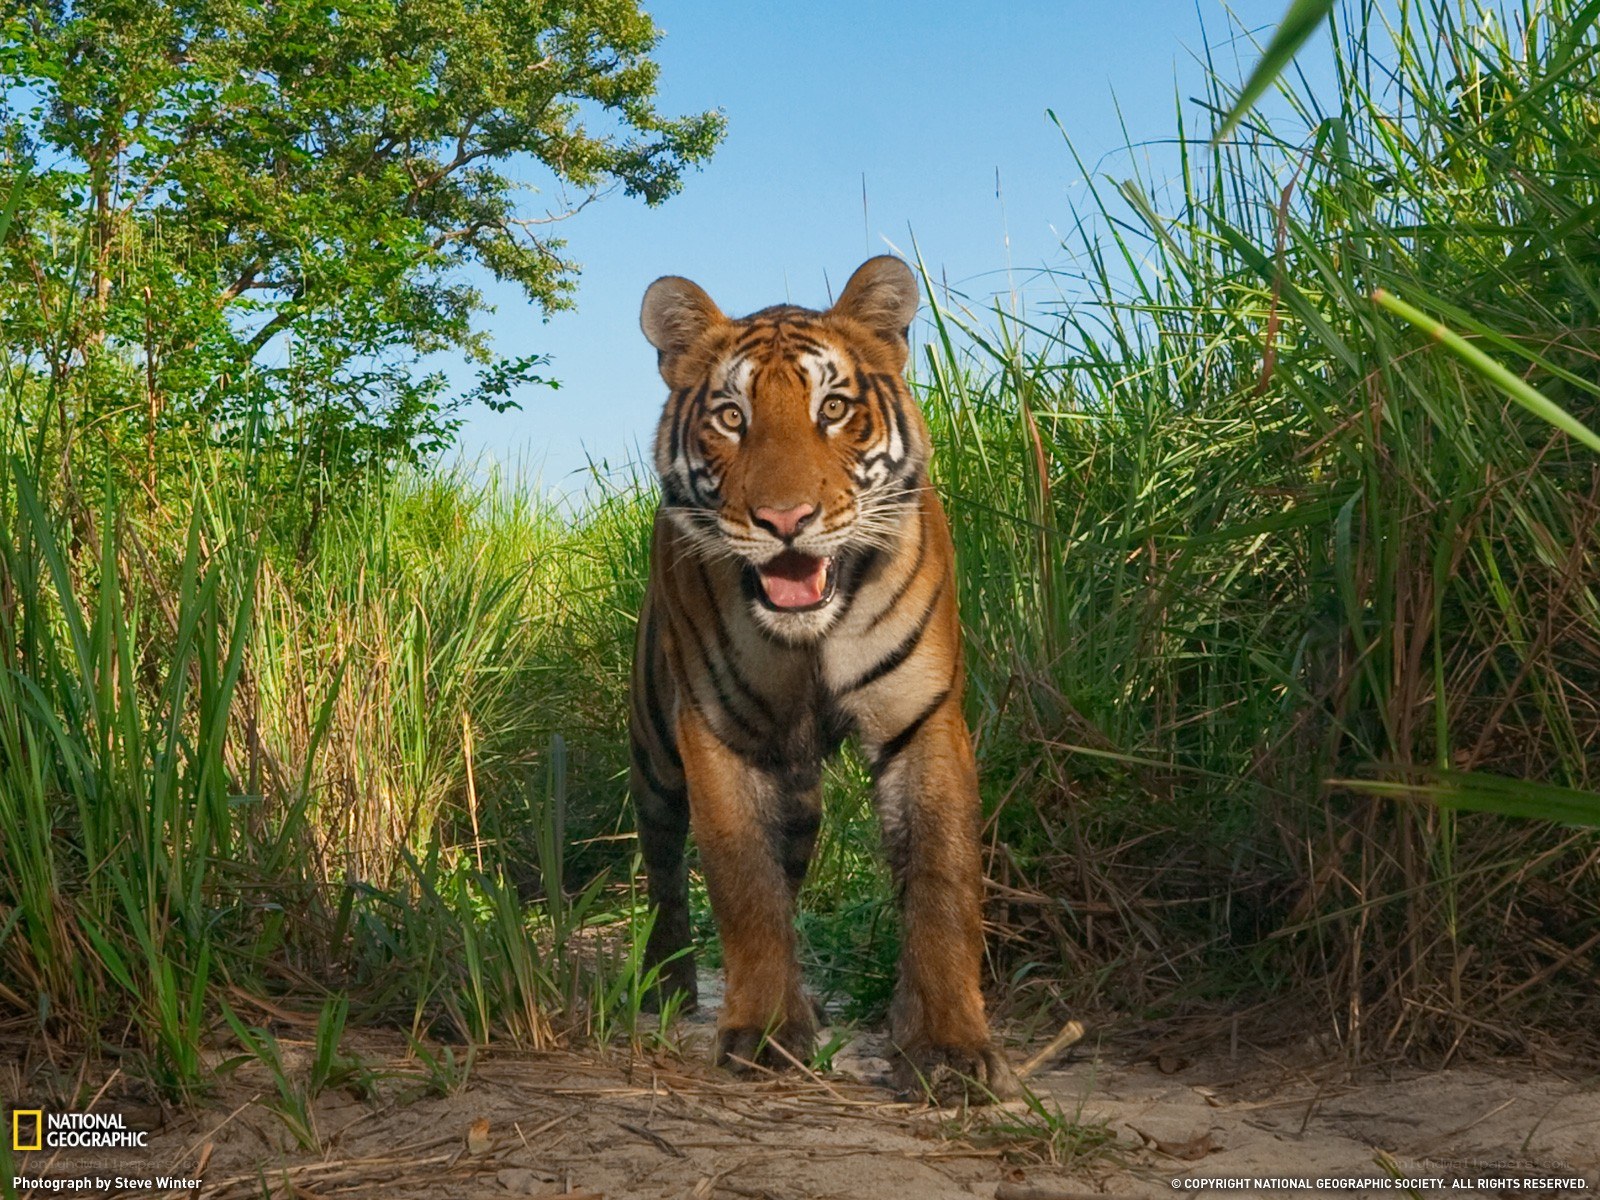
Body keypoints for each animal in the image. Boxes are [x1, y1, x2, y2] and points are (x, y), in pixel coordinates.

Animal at [629, 255, 1019, 1104]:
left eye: (834, 408)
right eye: (731, 416)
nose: (785, 521)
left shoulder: (923, 722)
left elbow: (941, 887)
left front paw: (947, 1046)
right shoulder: (716, 737)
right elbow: (744, 889)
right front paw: (766, 1033)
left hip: (799, 793)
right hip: (655, 754)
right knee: (665, 867)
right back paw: (666, 984)